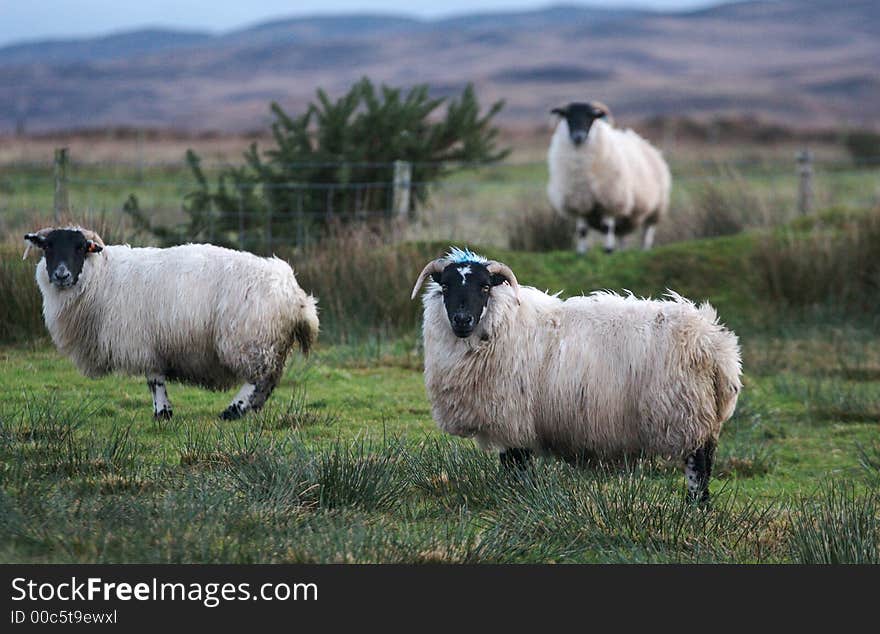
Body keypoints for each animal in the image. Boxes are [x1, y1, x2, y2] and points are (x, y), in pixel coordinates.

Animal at [22, 227, 320, 420]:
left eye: (81, 247)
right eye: (48, 247)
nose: (61, 275)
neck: (103, 276)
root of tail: (294, 294)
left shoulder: (143, 342)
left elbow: (154, 380)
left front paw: (162, 412)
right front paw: (163, 412)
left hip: (248, 339)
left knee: (257, 377)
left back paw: (233, 410)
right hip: (272, 342)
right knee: (269, 380)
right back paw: (251, 408)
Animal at [412, 247, 744, 498]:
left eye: (484, 287)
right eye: (445, 287)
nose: (462, 319)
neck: (506, 321)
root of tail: (716, 344)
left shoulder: (512, 417)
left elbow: (516, 466)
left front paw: (516, 497)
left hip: (686, 411)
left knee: (699, 465)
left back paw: (695, 508)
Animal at [548, 100, 672, 253]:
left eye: (591, 117)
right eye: (567, 116)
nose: (578, 136)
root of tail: (644, 142)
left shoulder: (611, 199)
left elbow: (607, 228)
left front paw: (608, 250)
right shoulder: (580, 203)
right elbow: (582, 231)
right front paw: (582, 252)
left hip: (656, 207)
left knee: (647, 232)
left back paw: (644, 249)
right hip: (627, 216)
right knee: (622, 234)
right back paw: (622, 251)